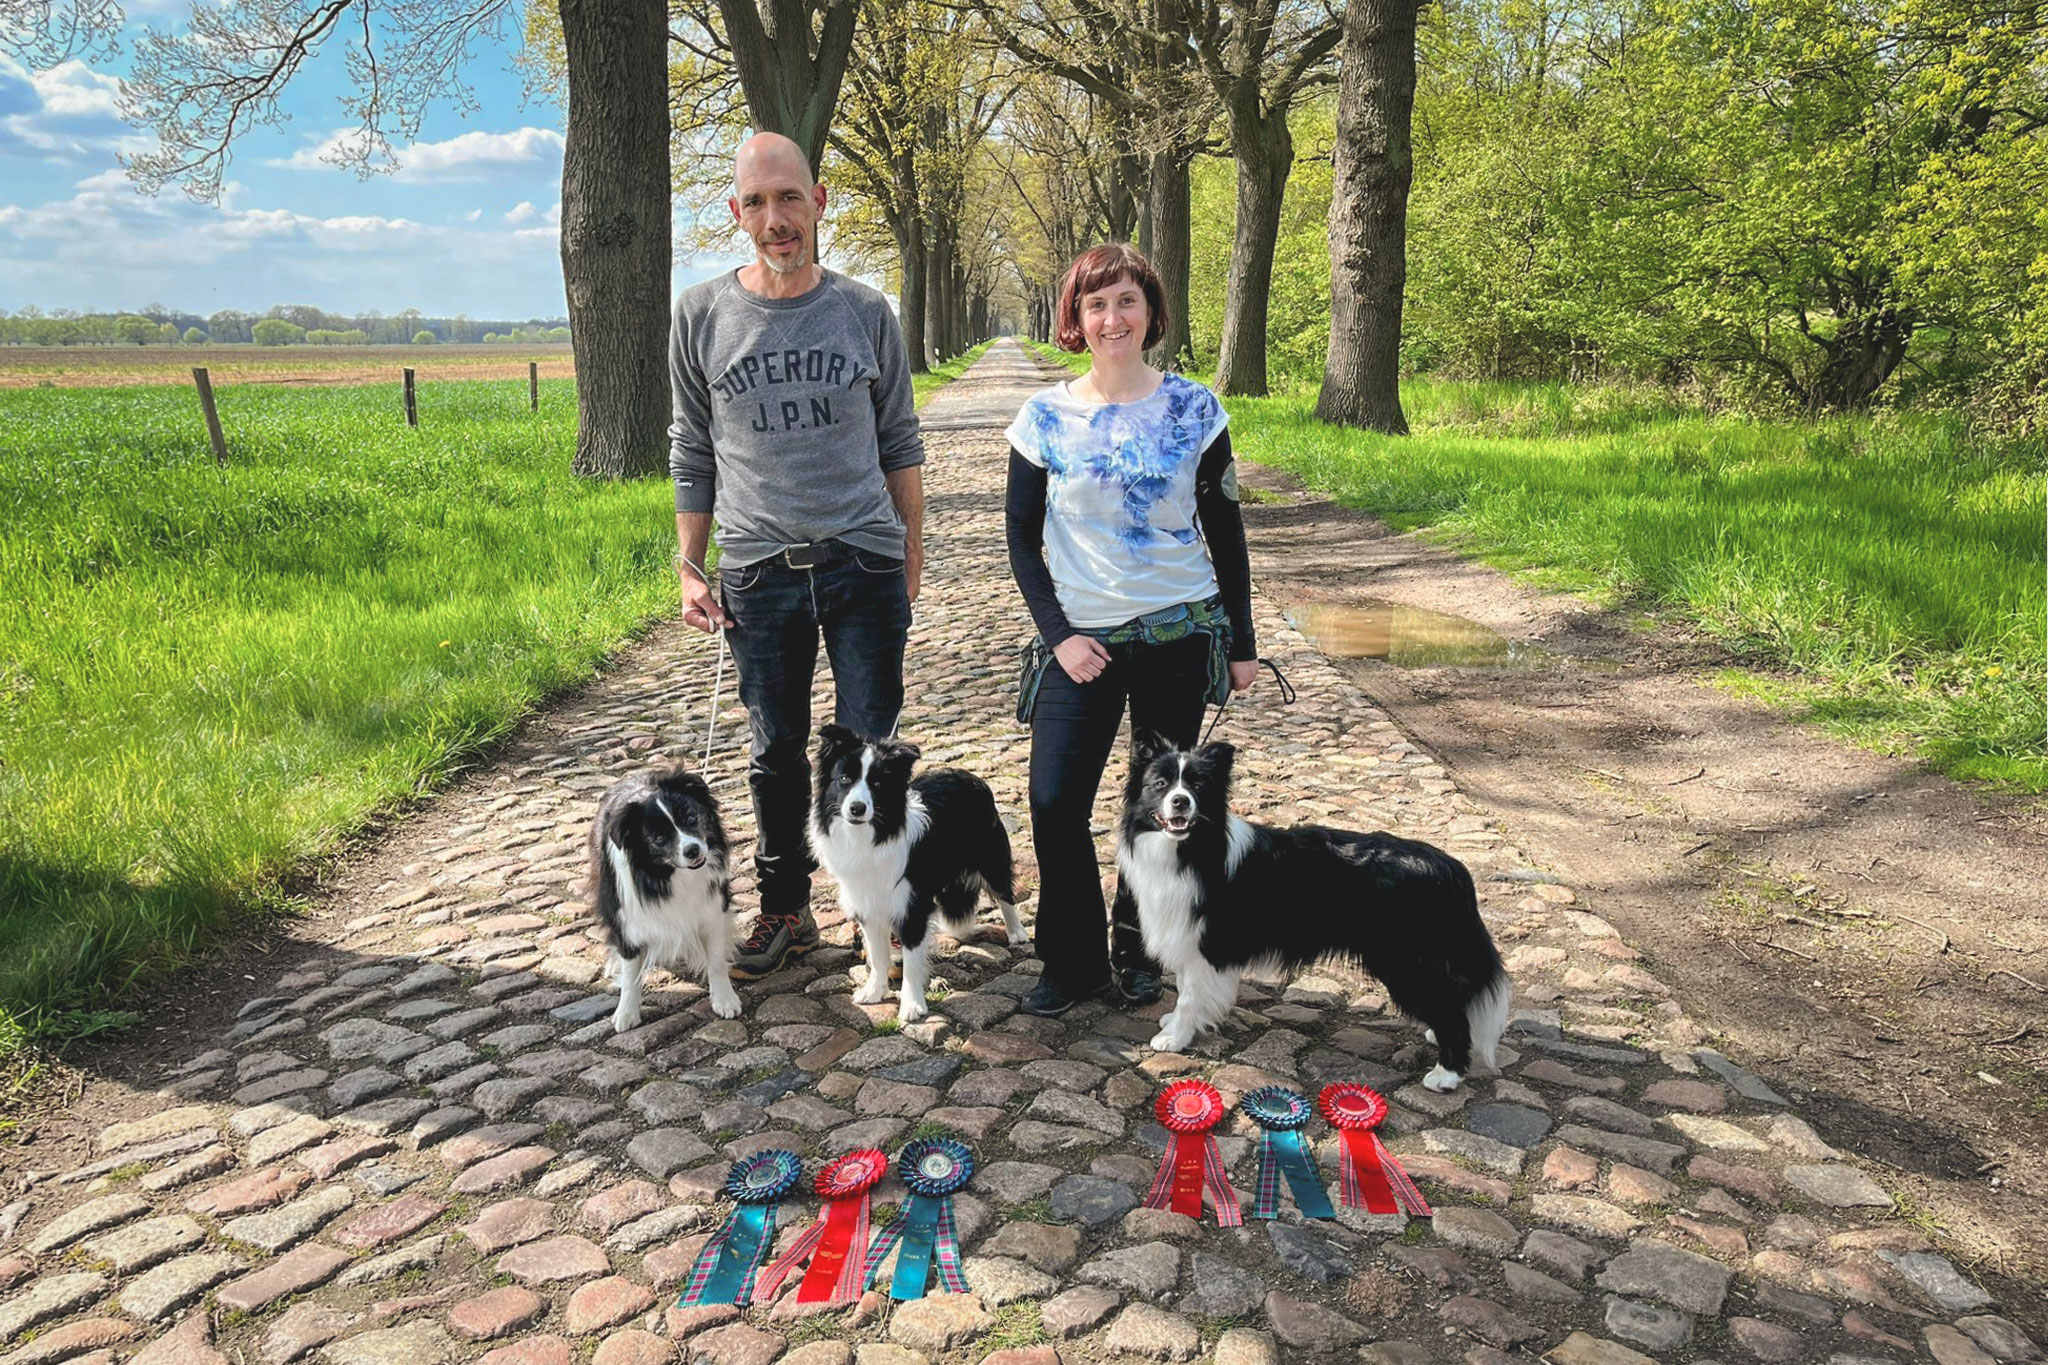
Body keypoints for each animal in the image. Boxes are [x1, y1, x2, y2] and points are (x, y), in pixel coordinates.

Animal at [589, 765, 741, 1031]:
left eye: (691, 818)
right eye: (658, 838)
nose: (692, 850)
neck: (669, 876)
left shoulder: (712, 910)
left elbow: (716, 961)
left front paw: (725, 1000)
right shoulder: (628, 919)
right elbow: (630, 973)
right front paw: (626, 1013)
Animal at [806, 724, 1032, 1023]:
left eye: (877, 785)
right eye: (844, 779)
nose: (857, 808)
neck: (872, 834)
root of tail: (969, 776)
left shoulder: (912, 907)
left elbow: (912, 960)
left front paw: (912, 1006)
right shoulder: (868, 905)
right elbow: (878, 956)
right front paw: (874, 992)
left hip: (991, 856)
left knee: (1004, 893)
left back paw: (1017, 932)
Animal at [1114, 736, 1515, 1088]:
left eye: (1197, 785)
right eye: (1160, 784)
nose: (1181, 802)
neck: (1190, 849)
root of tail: (1453, 869)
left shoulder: (1206, 944)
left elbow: (1190, 995)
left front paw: (1174, 1038)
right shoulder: (1187, 938)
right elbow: (1185, 988)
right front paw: (1174, 1024)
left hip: (1405, 961)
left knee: (1451, 1013)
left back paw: (1446, 1075)